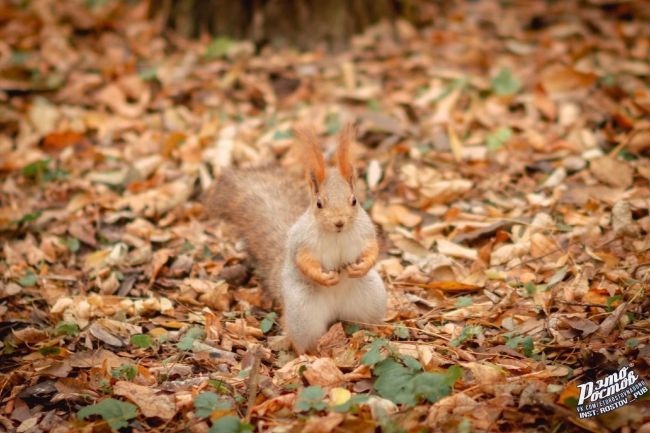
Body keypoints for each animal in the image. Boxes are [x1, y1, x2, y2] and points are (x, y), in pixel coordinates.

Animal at [202, 123, 384, 352]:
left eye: (354, 200)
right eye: (319, 203)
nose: (339, 222)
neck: (336, 235)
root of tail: (336, 309)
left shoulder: (366, 232)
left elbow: (372, 251)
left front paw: (360, 266)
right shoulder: (301, 241)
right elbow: (304, 261)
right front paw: (325, 277)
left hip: (371, 297)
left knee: (366, 320)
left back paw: (376, 331)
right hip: (303, 311)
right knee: (300, 338)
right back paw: (309, 353)